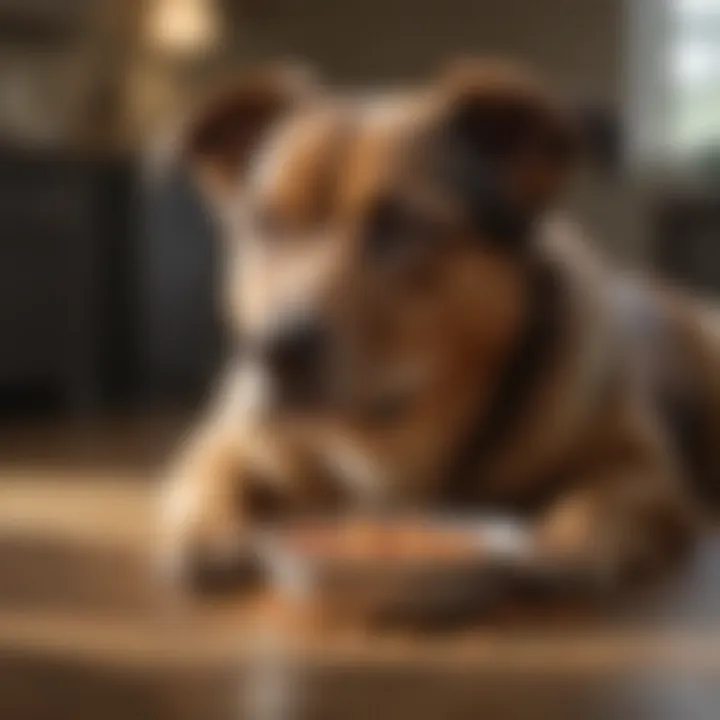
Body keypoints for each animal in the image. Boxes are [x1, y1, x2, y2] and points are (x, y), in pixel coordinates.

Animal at [160, 57, 720, 596]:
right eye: (264, 224)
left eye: (399, 225)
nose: (271, 351)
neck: (393, 444)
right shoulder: (227, 441)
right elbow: (207, 476)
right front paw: (207, 530)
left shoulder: (648, 471)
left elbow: (609, 494)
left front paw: (572, 539)